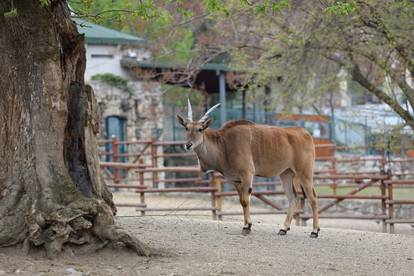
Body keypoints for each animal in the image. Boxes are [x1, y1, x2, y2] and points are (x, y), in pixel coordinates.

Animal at [177, 100, 320, 238]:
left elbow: (245, 200)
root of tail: (305, 133)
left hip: (304, 173)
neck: (224, 144)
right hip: (286, 174)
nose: (188, 145)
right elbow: (242, 201)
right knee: (292, 198)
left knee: (313, 198)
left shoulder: (247, 174)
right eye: (186, 128)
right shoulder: (236, 180)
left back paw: (315, 231)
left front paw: (246, 227)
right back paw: (283, 229)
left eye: (200, 129)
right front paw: (248, 225)